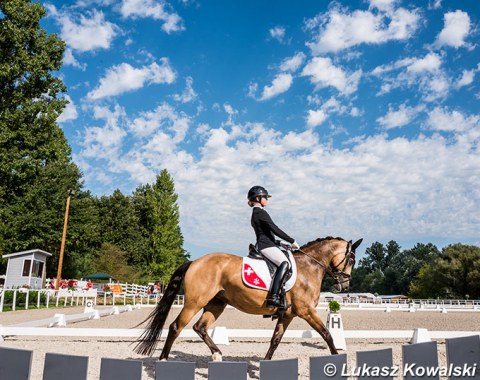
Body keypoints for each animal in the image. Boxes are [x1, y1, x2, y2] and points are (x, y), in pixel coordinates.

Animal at [133, 236, 362, 360]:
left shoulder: (288, 314)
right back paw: (163, 360)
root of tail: (195, 261)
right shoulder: (307, 311)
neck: (309, 267)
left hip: (216, 304)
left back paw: (217, 355)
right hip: (193, 302)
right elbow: (327, 334)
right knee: (175, 327)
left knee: (200, 327)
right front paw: (338, 359)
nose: (343, 286)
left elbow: (275, 340)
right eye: (351, 259)